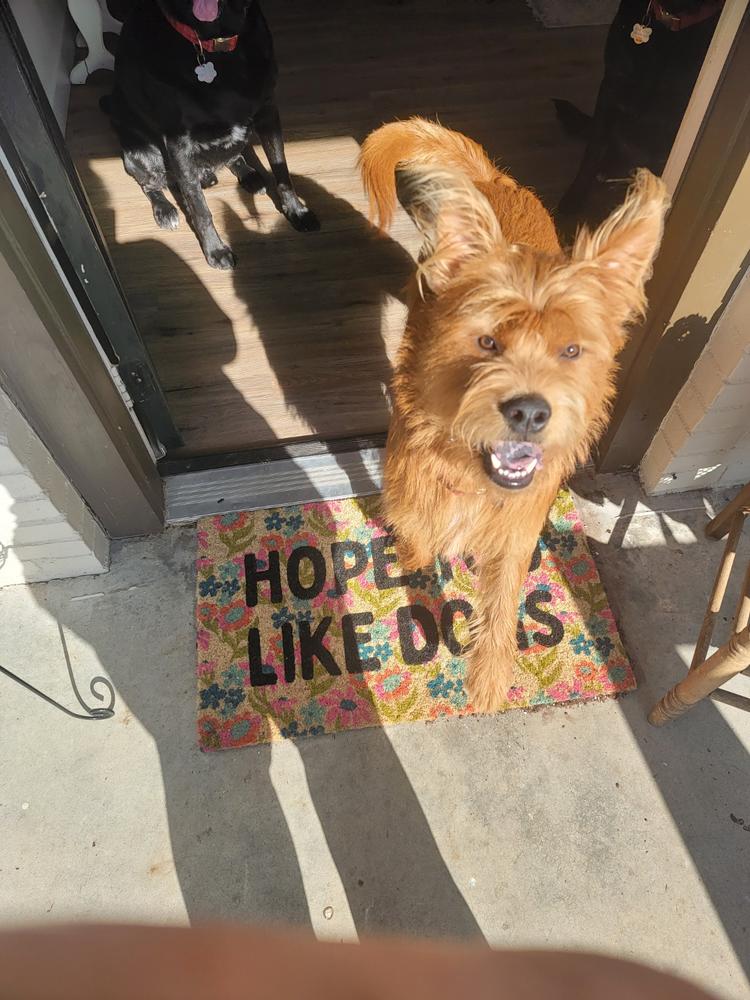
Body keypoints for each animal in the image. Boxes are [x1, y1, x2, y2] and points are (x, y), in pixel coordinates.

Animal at [104, 0, 318, 270]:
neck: (216, 41)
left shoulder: (268, 110)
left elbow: (282, 171)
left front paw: (297, 211)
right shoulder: (178, 141)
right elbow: (200, 208)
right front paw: (215, 250)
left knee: (231, 156)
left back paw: (248, 175)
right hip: (144, 153)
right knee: (151, 185)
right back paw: (166, 209)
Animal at [358, 117, 668, 712]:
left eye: (571, 350)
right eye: (487, 341)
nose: (528, 412)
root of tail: (495, 180)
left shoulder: (520, 525)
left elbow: (503, 598)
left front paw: (488, 675)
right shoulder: (411, 478)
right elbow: (417, 532)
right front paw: (413, 570)